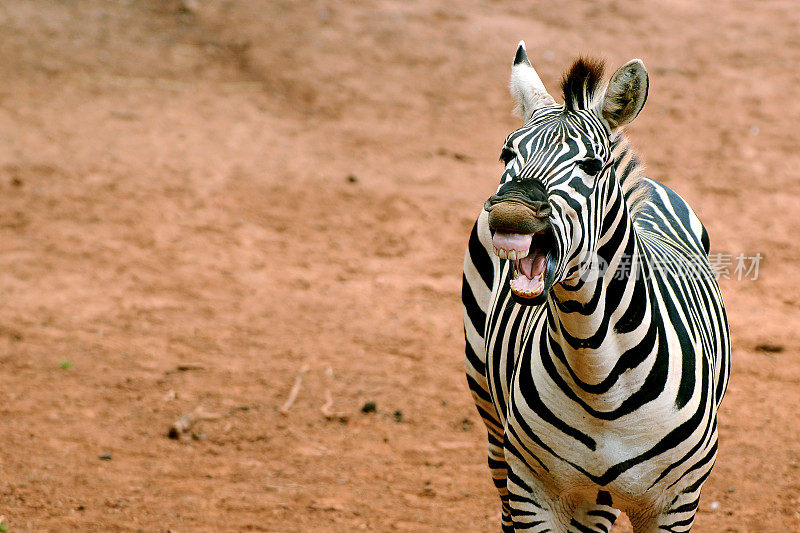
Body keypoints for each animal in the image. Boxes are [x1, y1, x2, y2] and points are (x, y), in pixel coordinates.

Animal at [462, 42, 732, 532]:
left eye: (590, 165)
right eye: (506, 154)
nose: (509, 213)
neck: (599, 377)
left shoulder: (676, 504)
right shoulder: (533, 491)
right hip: (490, 413)